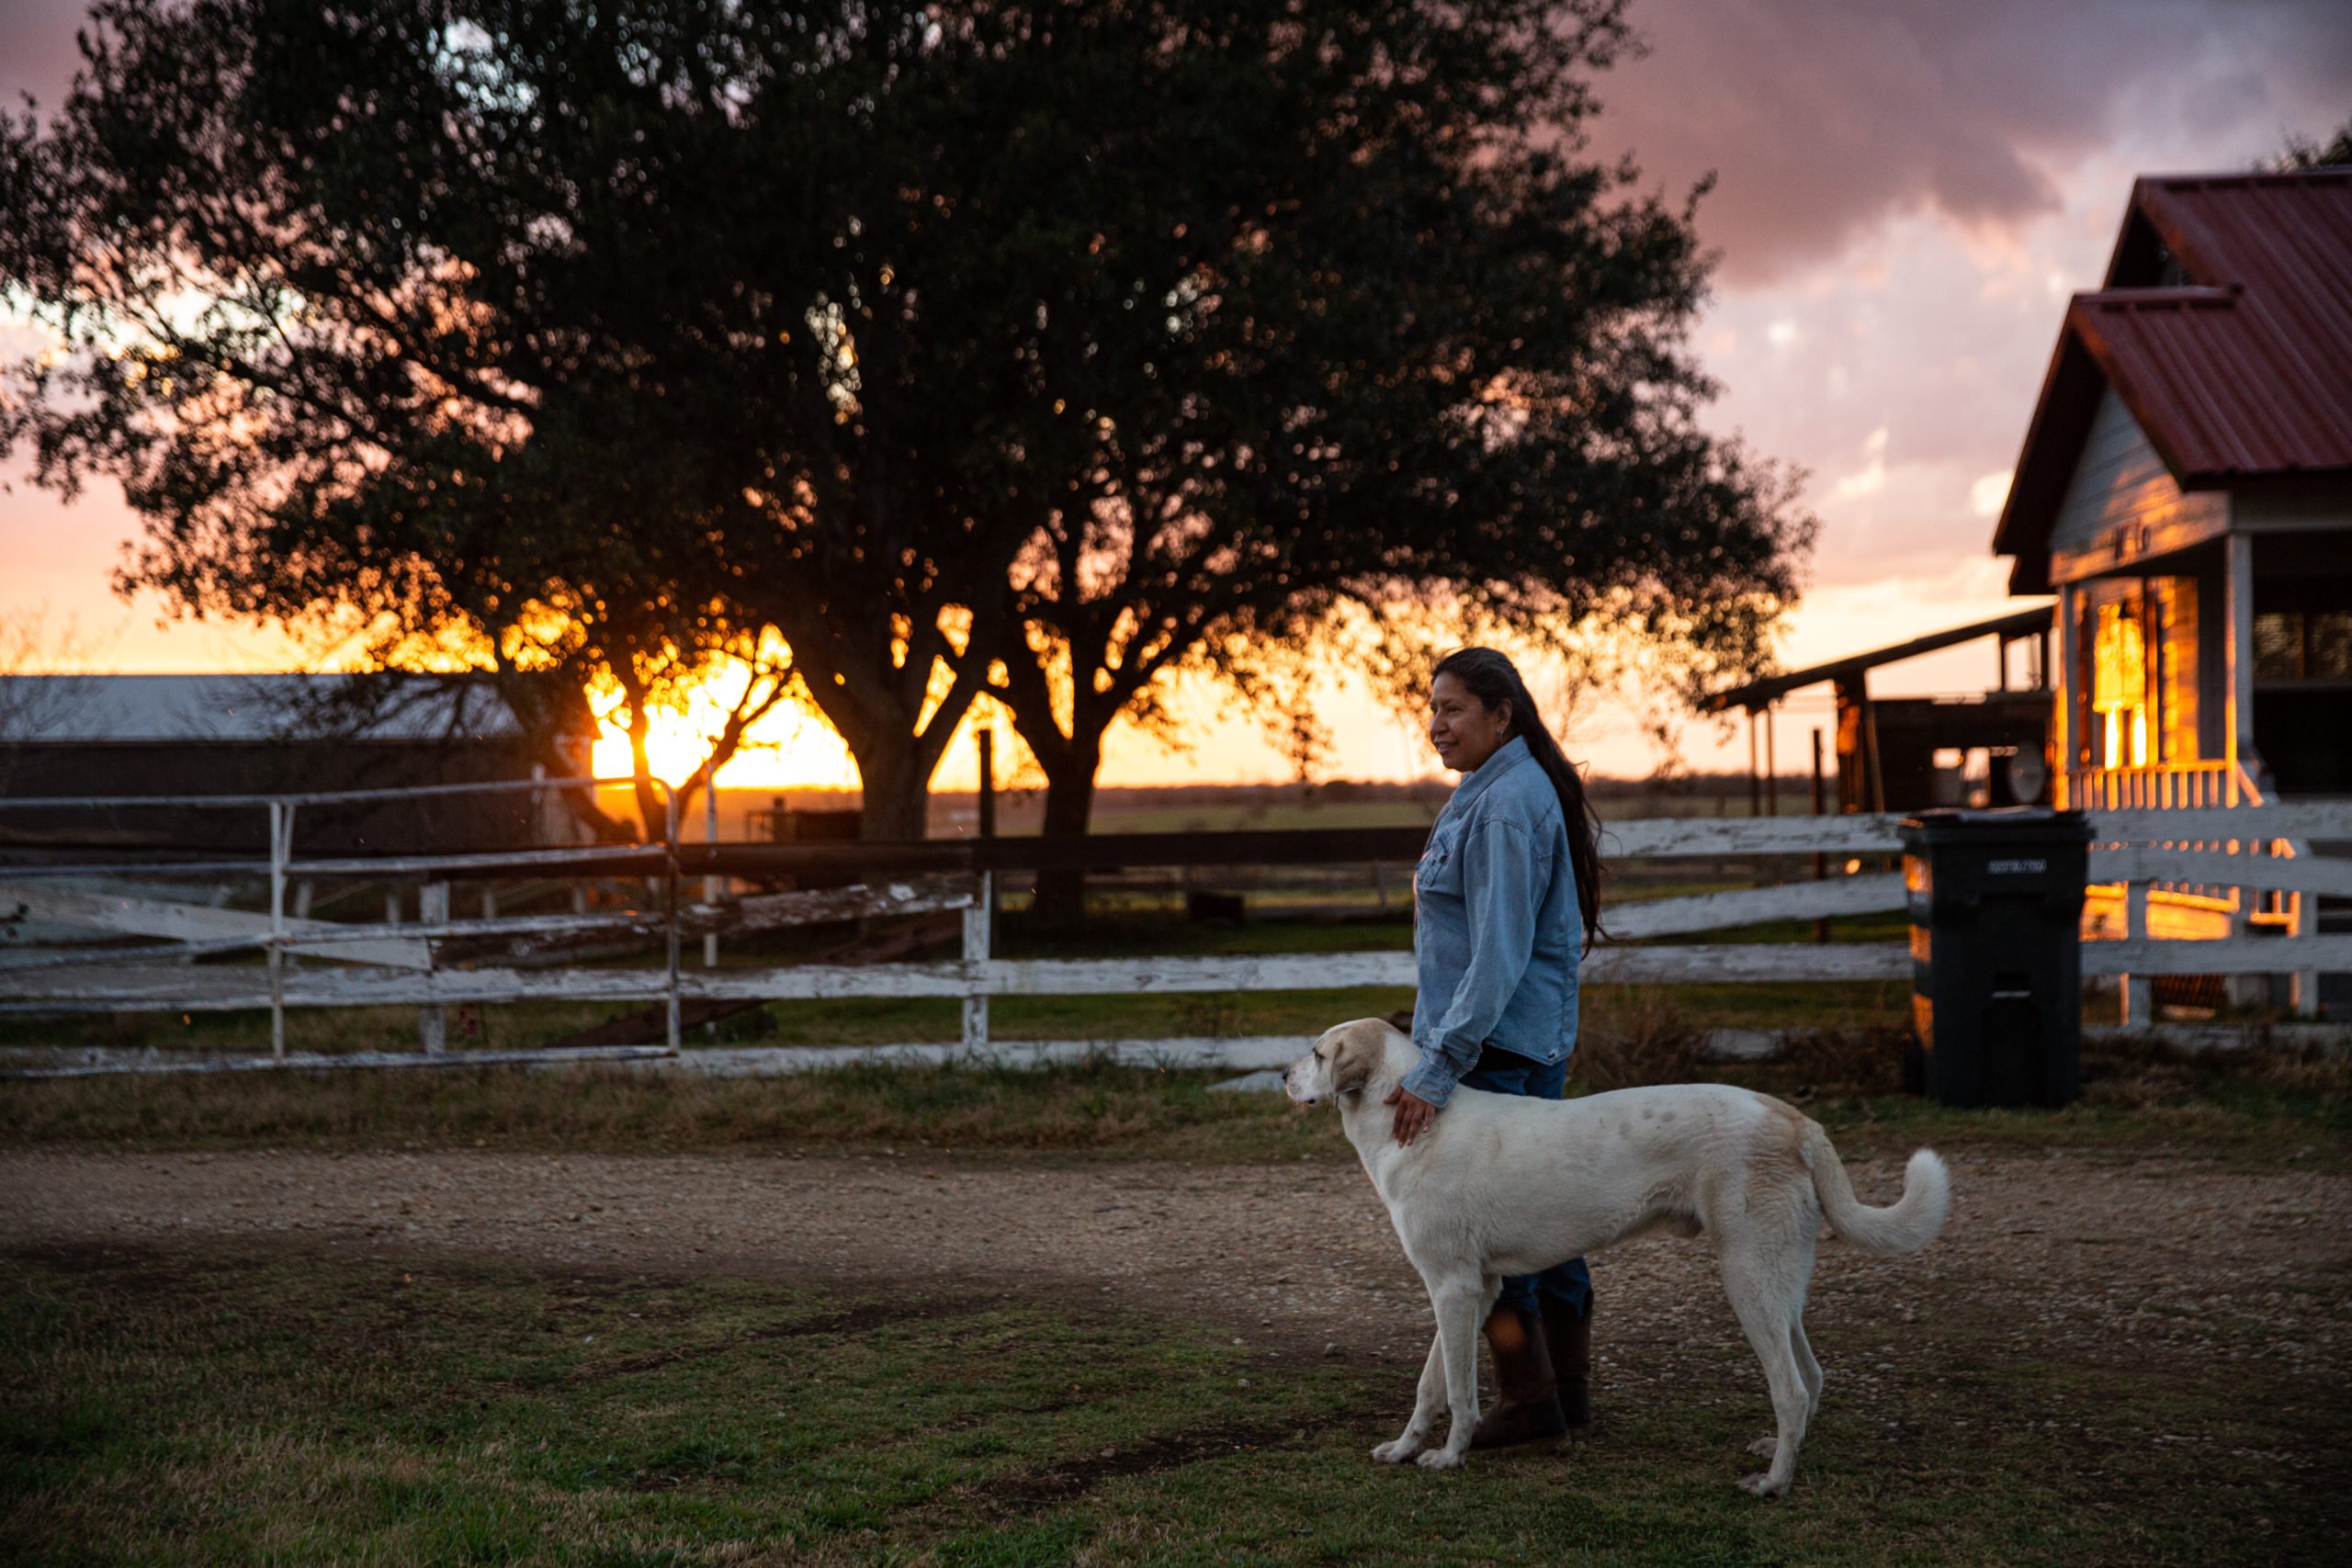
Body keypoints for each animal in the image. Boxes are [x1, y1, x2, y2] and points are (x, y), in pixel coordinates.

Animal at [1288, 1020, 1947, 1495]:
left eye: (1318, 1054)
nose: (1283, 1076)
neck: (1413, 1123)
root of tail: (1797, 1119)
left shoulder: (1453, 1289)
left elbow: (1458, 1390)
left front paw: (1450, 1457)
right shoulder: (1478, 1290)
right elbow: (1431, 1386)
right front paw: (1404, 1449)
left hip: (1749, 1280)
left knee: (1791, 1388)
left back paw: (1773, 1483)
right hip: (1777, 1281)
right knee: (1811, 1375)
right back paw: (1779, 1453)